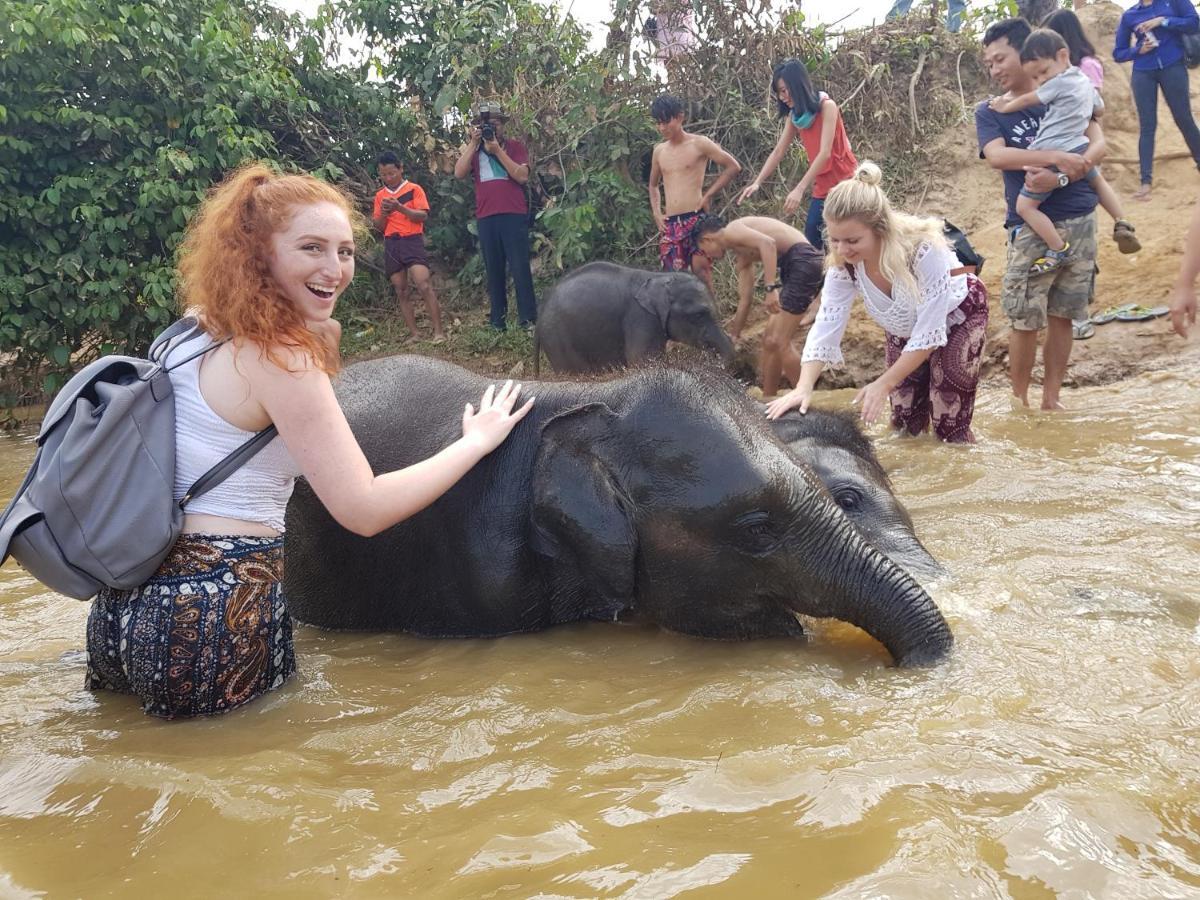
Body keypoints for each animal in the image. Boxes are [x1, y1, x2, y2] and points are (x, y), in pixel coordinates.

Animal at [532, 260, 729, 376]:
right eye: (699, 314)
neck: (659, 277)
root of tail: (539, 314)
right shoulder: (641, 319)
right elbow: (642, 361)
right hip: (558, 340)